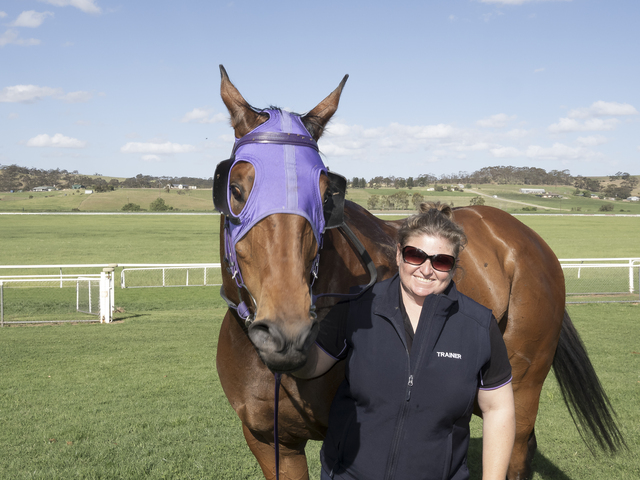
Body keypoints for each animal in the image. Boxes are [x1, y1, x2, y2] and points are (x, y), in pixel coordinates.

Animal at [214, 65, 624, 480]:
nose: (288, 333)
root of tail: (528, 238)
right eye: (235, 189)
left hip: (520, 385)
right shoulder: (271, 443)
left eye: (327, 195)